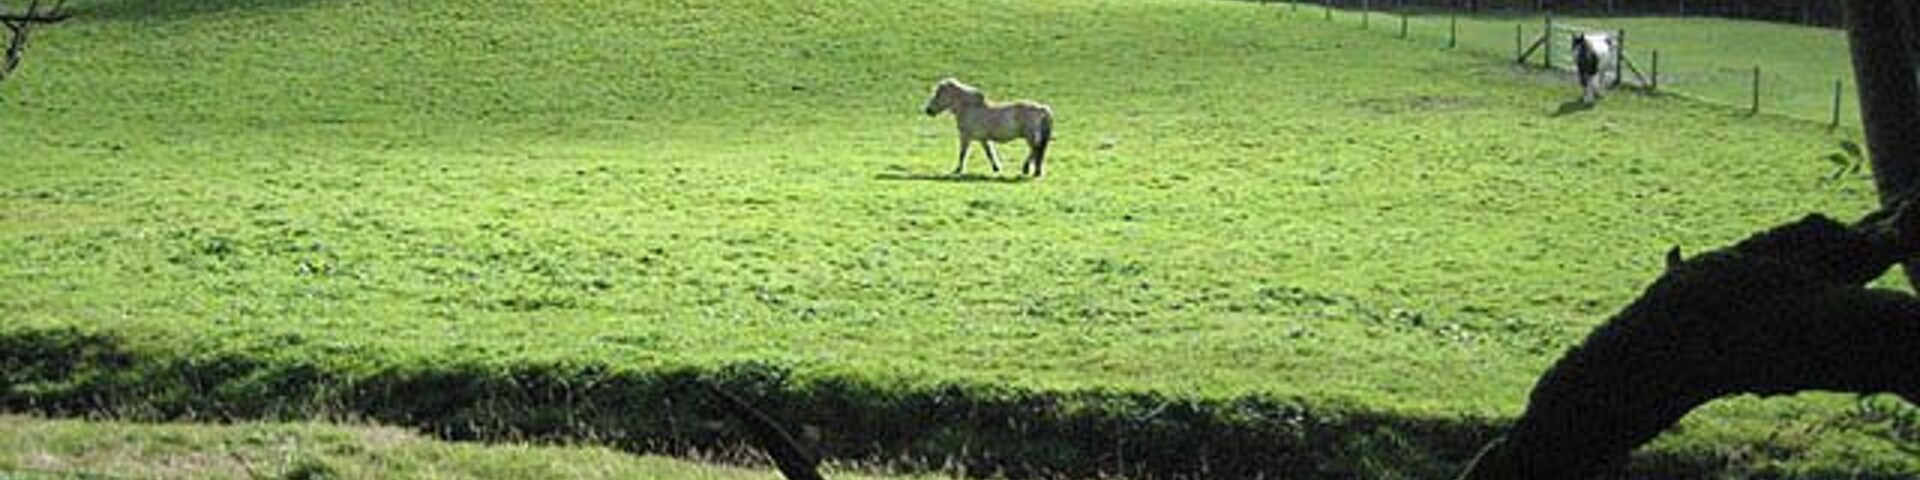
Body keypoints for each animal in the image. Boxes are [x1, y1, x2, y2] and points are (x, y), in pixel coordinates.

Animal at [922, 78, 1054, 177]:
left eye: (938, 94)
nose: (928, 110)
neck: (969, 108)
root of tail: (1041, 108)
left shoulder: (965, 137)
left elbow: (963, 153)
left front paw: (958, 170)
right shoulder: (983, 139)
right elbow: (990, 153)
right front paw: (996, 168)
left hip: (1030, 136)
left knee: (1035, 149)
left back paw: (1027, 169)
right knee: (1037, 151)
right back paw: (1035, 172)